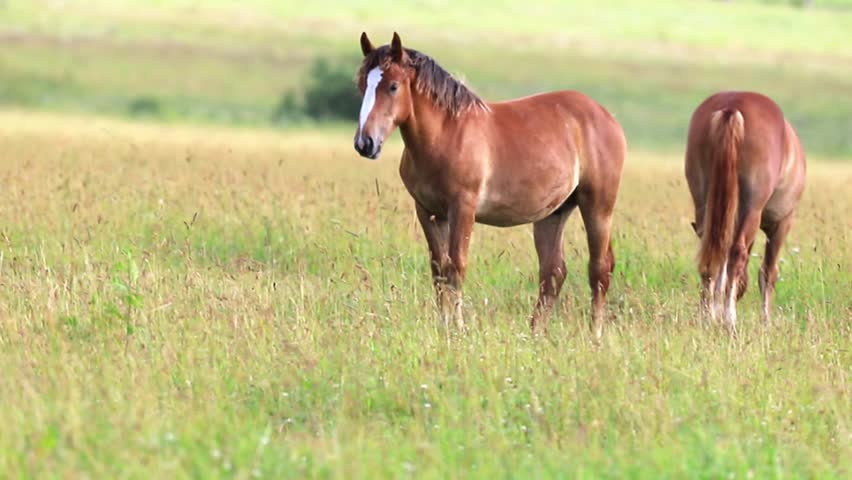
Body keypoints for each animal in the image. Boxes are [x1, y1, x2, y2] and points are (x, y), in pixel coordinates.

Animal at [353, 32, 626, 338]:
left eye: (393, 86)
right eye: (362, 84)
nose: (365, 143)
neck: (446, 134)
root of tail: (606, 116)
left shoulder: (463, 208)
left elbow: (456, 267)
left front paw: (458, 328)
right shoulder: (427, 211)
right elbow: (439, 268)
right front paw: (443, 326)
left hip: (598, 205)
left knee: (599, 268)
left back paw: (595, 335)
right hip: (553, 213)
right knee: (553, 272)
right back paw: (533, 334)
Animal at [685, 91, 806, 334]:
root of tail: (732, 106)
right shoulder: (781, 223)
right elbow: (768, 272)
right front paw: (765, 321)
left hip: (706, 203)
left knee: (712, 254)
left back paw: (707, 315)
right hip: (753, 208)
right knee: (737, 254)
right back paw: (730, 318)